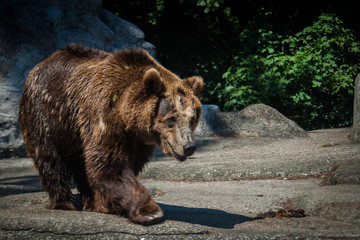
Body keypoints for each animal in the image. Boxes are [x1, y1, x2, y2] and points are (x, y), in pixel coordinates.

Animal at [19, 43, 202, 225]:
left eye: (192, 119)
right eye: (171, 119)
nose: (188, 146)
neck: (126, 117)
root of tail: (38, 66)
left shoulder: (138, 140)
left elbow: (126, 165)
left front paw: (108, 204)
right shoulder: (104, 116)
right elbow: (110, 164)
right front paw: (149, 211)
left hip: (74, 131)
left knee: (80, 163)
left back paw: (90, 201)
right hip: (46, 114)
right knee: (49, 157)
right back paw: (63, 203)